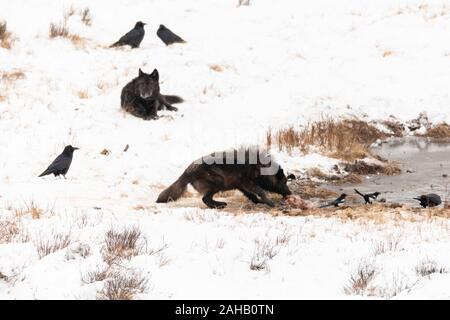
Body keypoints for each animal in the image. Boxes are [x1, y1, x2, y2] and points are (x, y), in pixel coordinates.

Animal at [156, 149, 294, 209]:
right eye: (284, 182)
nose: (290, 193)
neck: (261, 169)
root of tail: (187, 172)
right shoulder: (247, 182)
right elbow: (261, 192)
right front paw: (270, 202)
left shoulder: (241, 186)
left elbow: (252, 196)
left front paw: (260, 202)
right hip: (217, 183)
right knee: (205, 199)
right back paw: (219, 205)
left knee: (206, 199)